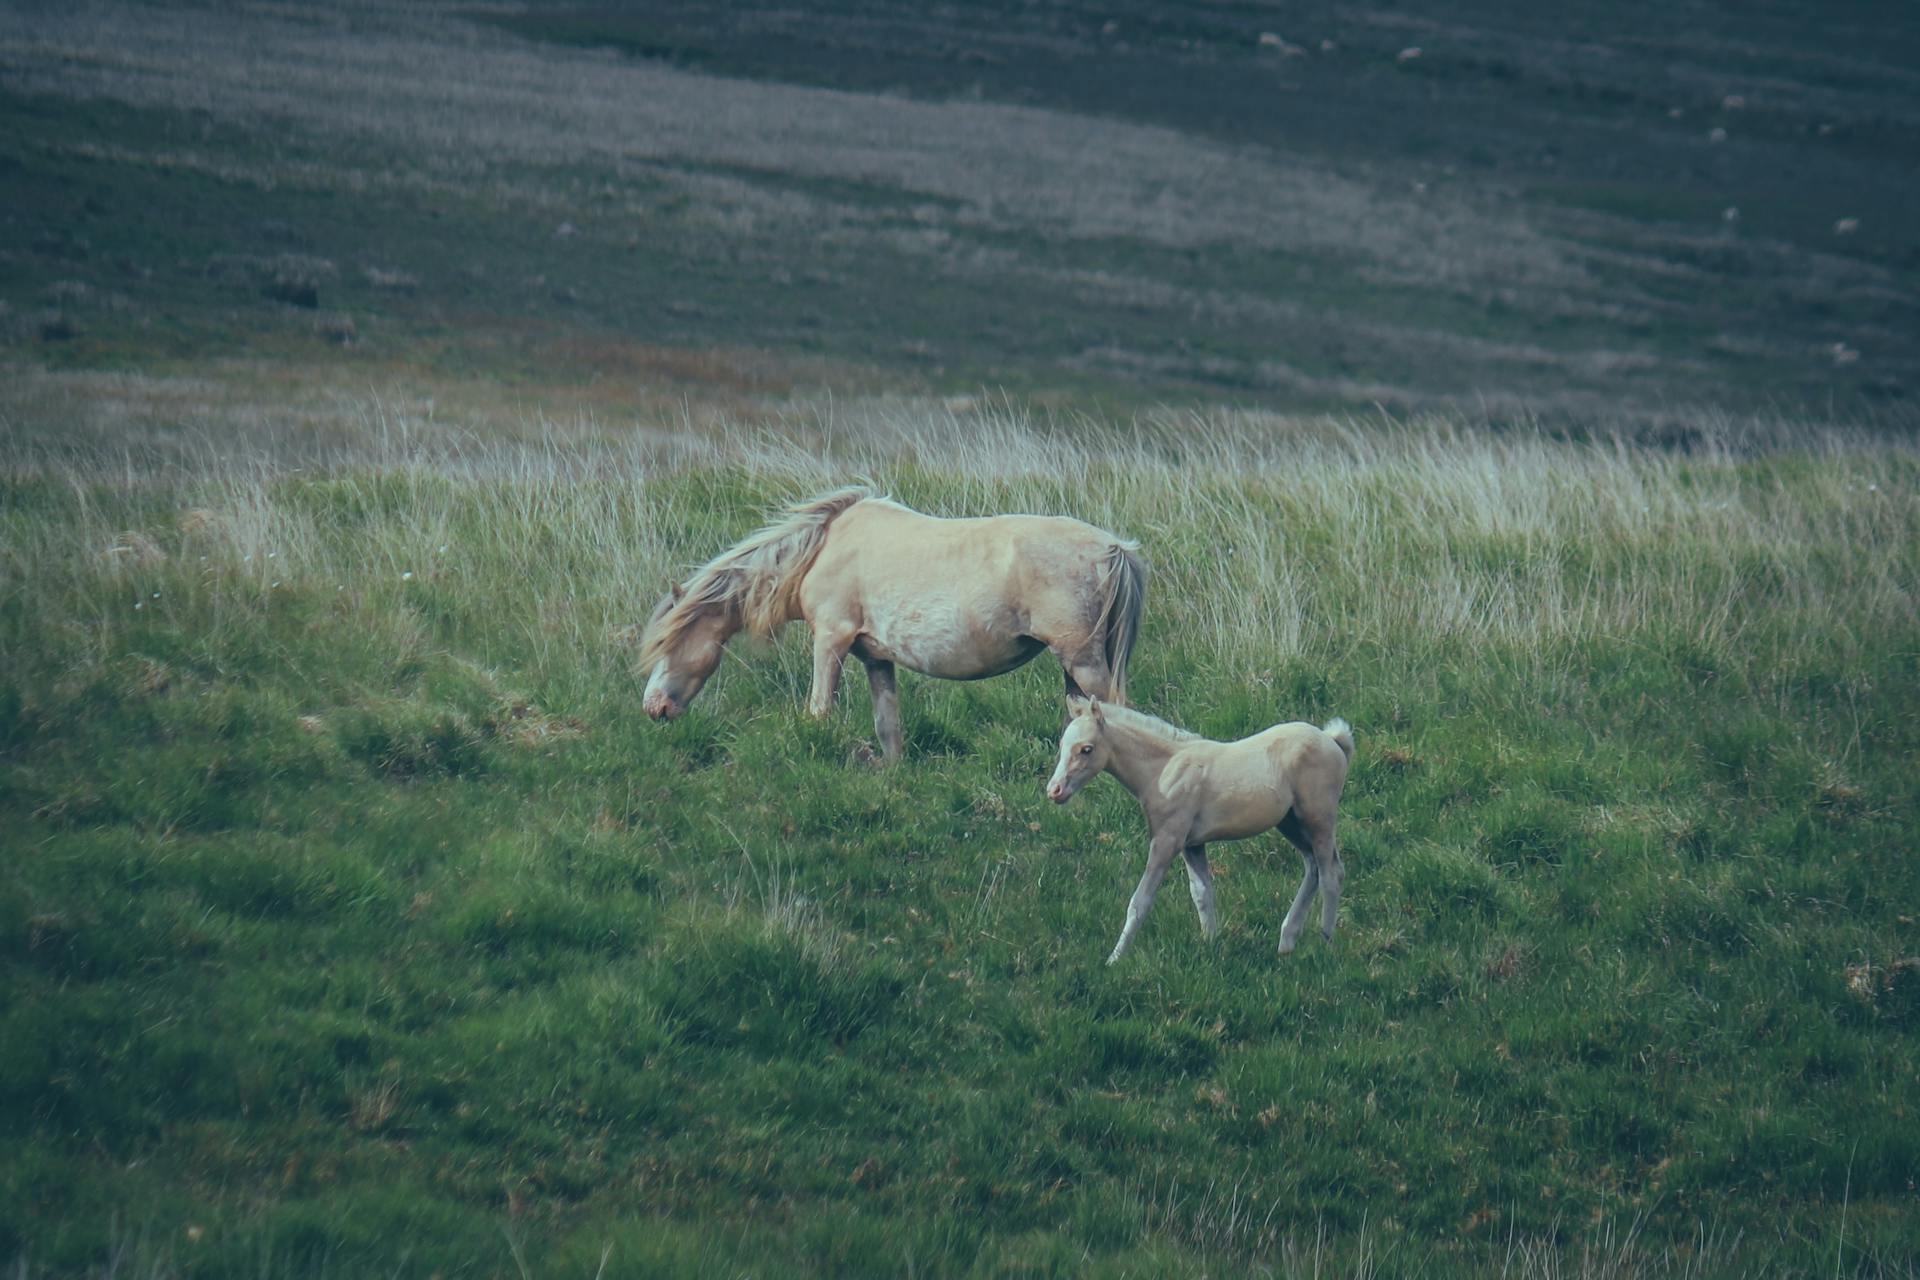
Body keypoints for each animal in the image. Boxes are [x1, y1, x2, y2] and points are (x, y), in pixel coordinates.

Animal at [637, 483, 1144, 759]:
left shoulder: (832, 640)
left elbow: (819, 710)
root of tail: (1112, 548)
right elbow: (888, 728)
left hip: (1083, 661)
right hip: (1073, 667)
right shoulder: (875, 658)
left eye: (666, 646)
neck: (824, 549)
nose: (653, 708)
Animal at [1052, 702, 1351, 959]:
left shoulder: (1167, 840)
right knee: (1313, 867)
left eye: (1086, 749)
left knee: (1331, 874)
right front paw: (1211, 945)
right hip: (1290, 823)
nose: (1054, 790)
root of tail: (1332, 739)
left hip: (1319, 821)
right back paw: (1286, 943)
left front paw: (1114, 959)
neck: (1164, 769)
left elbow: (1140, 901)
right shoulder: (1191, 844)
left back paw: (1325, 942)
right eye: (1062, 745)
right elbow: (1202, 893)